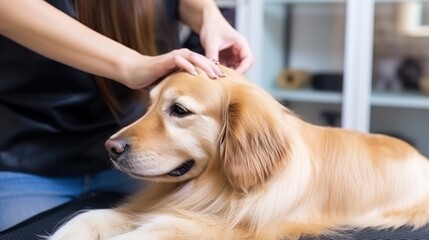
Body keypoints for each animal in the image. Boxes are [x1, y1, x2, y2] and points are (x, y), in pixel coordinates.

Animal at [48, 66, 428, 240]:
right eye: (150, 104)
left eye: (179, 111)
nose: (110, 148)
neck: (215, 188)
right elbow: (89, 217)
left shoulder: (230, 229)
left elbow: (156, 229)